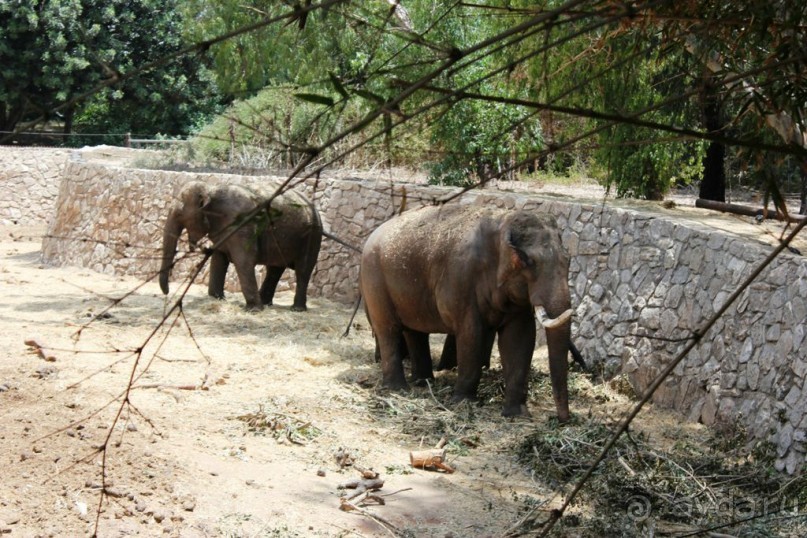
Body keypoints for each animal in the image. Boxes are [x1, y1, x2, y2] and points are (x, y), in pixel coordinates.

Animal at [158, 180, 322, 310]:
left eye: (179, 215)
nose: (167, 293)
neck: (211, 188)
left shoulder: (242, 223)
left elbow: (244, 260)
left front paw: (253, 310)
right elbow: (219, 256)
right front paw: (216, 298)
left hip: (312, 236)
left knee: (303, 269)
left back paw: (296, 309)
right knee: (275, 269)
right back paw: (266, 303)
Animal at [360, 204, 576, 418]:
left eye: (568, 260)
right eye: (529, 262)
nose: (561, 419)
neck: (503, 221)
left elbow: (520, 338)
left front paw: (516, 414)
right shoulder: (461, 281)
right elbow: (471, 333)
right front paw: (464, 402)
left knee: (415, 331)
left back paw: (423, 382)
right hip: (374, 280)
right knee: (388, 329)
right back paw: (397, 388)